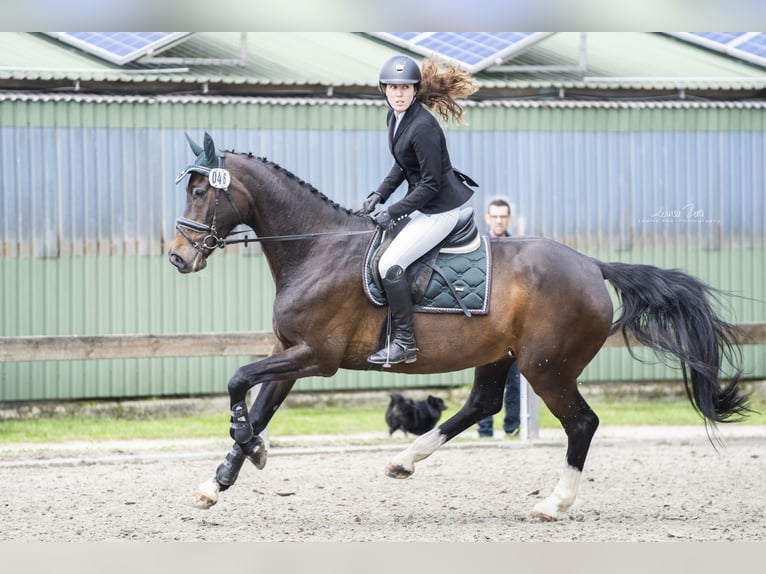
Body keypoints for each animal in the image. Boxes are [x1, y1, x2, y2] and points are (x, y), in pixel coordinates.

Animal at [168, 133, 750, 520]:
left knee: (581, 423)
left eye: (202, 193)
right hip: (501, 355)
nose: (177, 258)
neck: (315, 248)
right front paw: (219, 480)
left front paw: (249, 450)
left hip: (546, 366)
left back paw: (554, 503)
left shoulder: (317, 356)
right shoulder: (290, 351)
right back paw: (404, 460)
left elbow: (239, 381)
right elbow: (259, 406)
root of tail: (591, 265)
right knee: (482, 404)